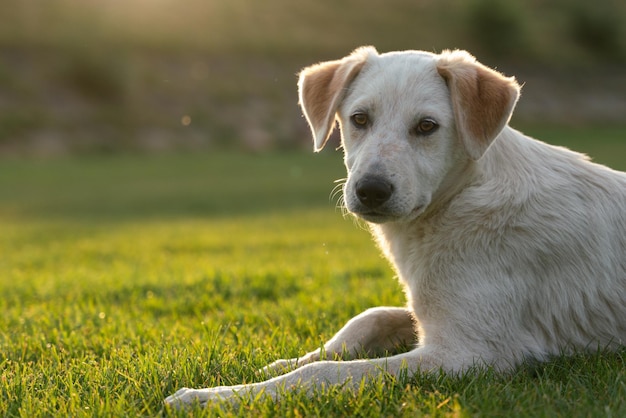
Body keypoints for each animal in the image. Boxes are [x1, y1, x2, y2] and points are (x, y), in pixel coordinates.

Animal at [165, 47, 624, 406]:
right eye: (359, 119)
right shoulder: (428, 319)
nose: (370, 191)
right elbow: (369, 318)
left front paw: (213, 397)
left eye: (427, 126)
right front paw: (277, 362)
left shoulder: (471, 353)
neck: (460, 198)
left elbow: (324, 373)